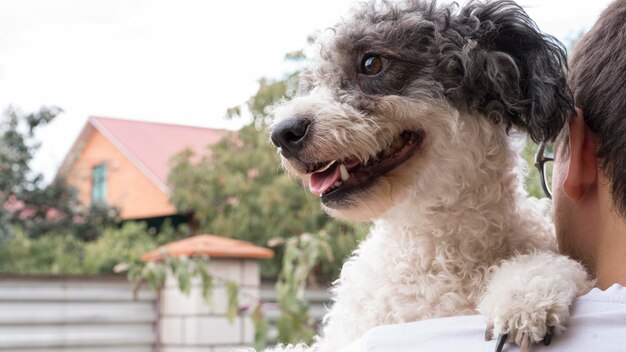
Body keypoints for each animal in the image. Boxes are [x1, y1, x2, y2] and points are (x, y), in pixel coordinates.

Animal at [266, 1, 588, 350]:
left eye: (371, 63)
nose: (282, 134)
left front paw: (525, 301)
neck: (437, 254)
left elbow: (548, 266)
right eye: (311, 83)